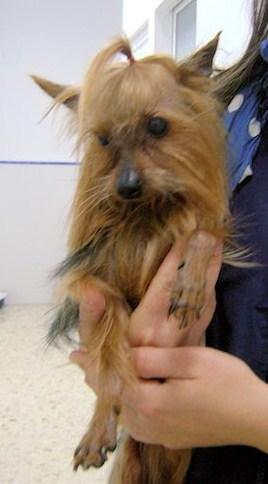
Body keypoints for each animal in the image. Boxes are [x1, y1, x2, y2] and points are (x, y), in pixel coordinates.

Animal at [33, 36, 230, 484]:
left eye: (157, 125)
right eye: (103, 140)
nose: (126, 187)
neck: (144, 218)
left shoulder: (200, 224)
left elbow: (202, 234)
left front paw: (189, 287)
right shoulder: (95, 282)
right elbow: (108, 325)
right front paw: (99, 423)